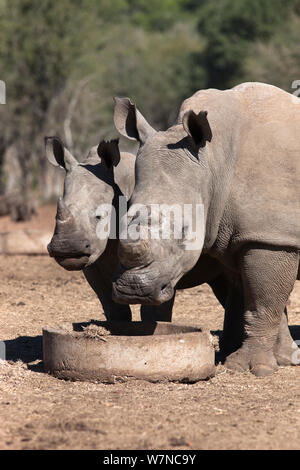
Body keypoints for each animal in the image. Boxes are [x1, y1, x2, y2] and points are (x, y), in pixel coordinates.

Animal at [112, 82, 300, 376]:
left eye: (184, 232)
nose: (132, 289)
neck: (214, 163)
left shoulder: (271, 237)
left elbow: (263, 301)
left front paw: (248, 368)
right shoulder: (245, 236)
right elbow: (258, 299)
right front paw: (283, 359)